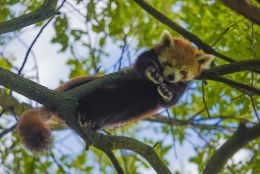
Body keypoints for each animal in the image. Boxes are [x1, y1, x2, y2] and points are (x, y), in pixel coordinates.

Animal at [16, 30, 215, 152]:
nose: (171, 77)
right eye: (168, 63)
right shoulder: (140, 64)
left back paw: (89, 120)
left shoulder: (181, 87)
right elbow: (143, 63)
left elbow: (171, 100)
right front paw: (153, 71)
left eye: (183, 71)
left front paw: (167, 90)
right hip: (85, 86)